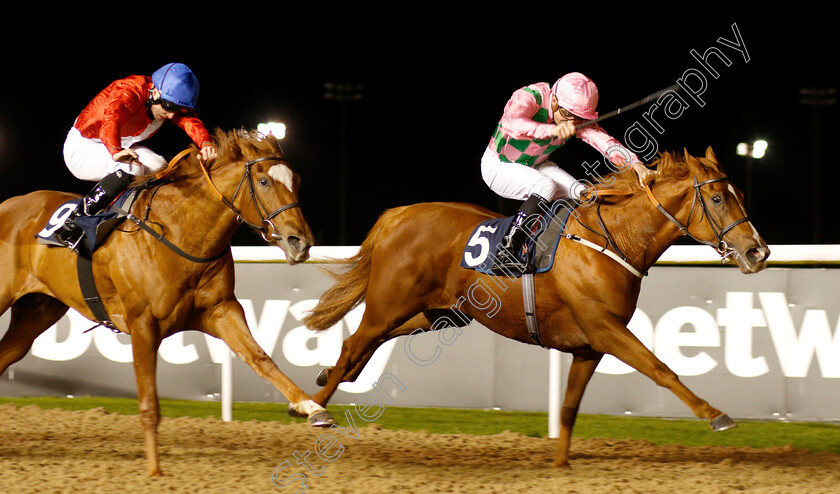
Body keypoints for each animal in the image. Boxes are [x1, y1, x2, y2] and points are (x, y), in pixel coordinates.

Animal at [0, 129, 334, 476]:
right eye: (265, 181)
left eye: (296, 180)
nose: (301, 242)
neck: (180, 232)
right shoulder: (143, 323)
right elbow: (149, 403)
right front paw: (154, 470)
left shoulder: (221, 310)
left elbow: (260, 358)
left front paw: (312, 407)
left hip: (37, 311)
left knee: (8, 352)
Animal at [306, 147, 772, 466]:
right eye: (717, 199)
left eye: (740, 193)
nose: (758, 252)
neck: (611, 240)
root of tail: (398, 214)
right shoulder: (605, 328)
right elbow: (662, 369)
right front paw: (716, 415)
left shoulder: (590, 346)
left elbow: (568, 407)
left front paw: (561, 464)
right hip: (390, 302)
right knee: (355, 343)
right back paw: (316, 412)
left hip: (439, 313)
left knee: (367, 343)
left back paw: (332, 376)